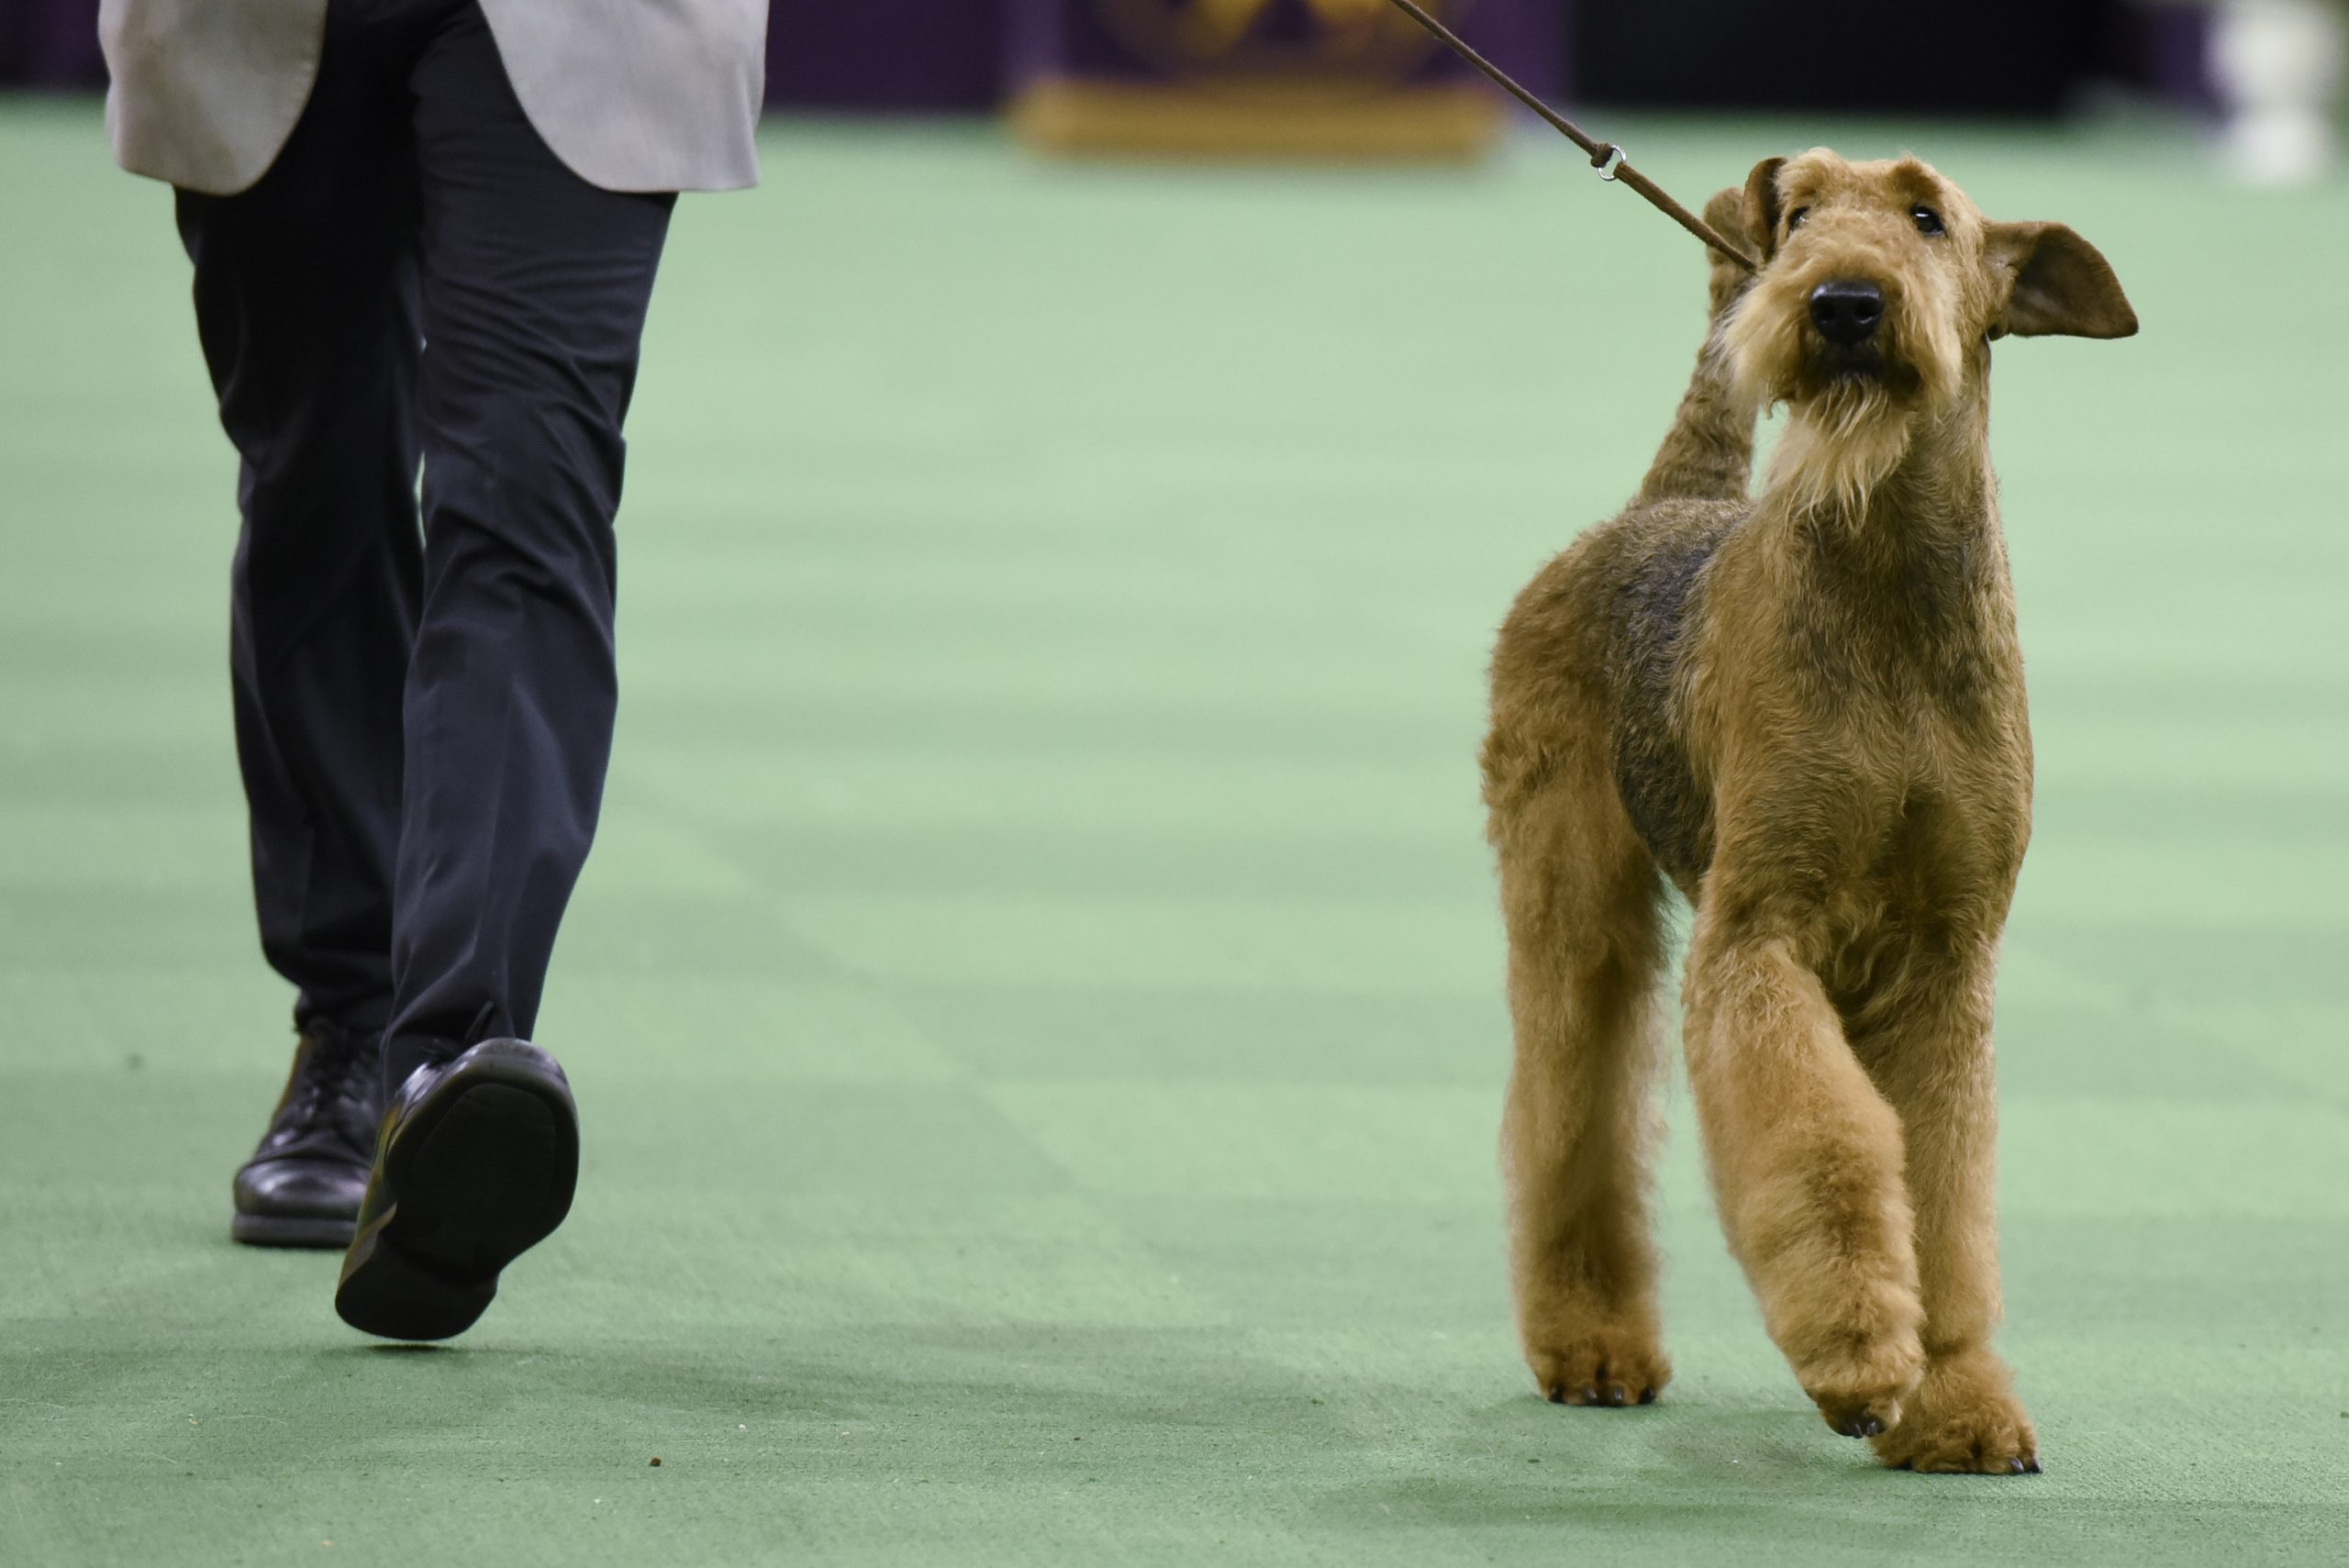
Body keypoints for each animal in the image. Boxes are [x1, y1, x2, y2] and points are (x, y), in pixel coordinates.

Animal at [1484, 146, 2132, 1473]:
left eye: (1927, 216)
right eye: (1798, 215)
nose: (1840, 302)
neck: (1888, 593)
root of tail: (1656, 507)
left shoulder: (1946, 956)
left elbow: (1941, 1200)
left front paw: (1959, 1407)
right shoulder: (1760, 930)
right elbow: (1828, 1150)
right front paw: (1862, 1358)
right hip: (1572, 893)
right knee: (1570, 1107)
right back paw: (1592, 1344)